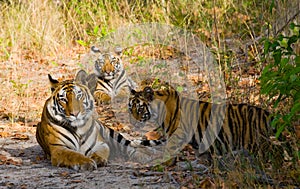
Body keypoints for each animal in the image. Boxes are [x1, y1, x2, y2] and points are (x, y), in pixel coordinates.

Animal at [127, 85, 284, 165]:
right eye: (130, 108)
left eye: (140, 109)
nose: (132, 122)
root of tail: (270, 115)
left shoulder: (175, 136)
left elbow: (168, 153)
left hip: (259, 144)